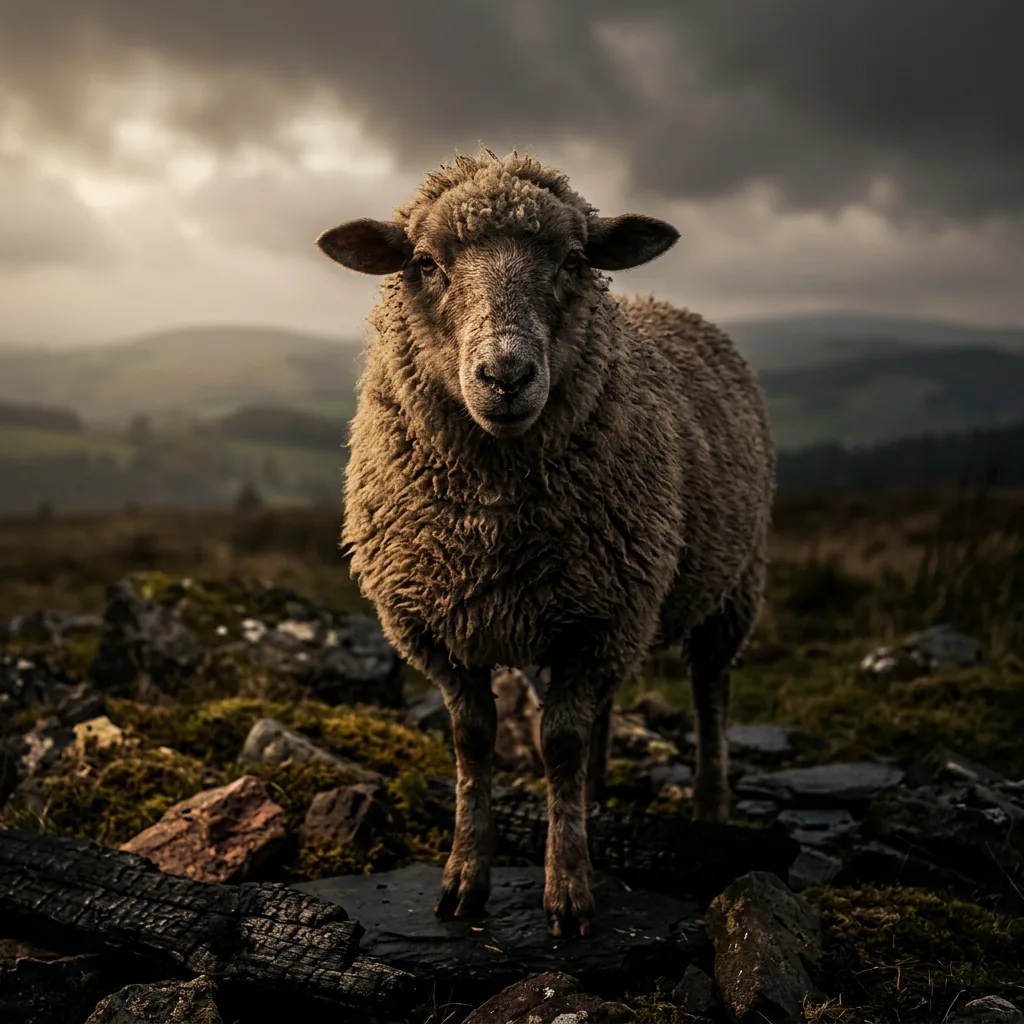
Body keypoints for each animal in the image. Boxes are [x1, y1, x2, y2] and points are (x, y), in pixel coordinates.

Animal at [315, 149, 776, 937]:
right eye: (425, 263)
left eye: (572, 261)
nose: (506, 376)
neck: (491, 520)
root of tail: (670, 305)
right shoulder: (445, 629)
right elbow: (475, 741)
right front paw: (464, 880)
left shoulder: (599, 620)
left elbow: (556, 744)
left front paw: (569, 891)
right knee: (603, 708)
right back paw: (593, 794)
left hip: (726, 589)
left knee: (709, 692)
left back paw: (709, 807)